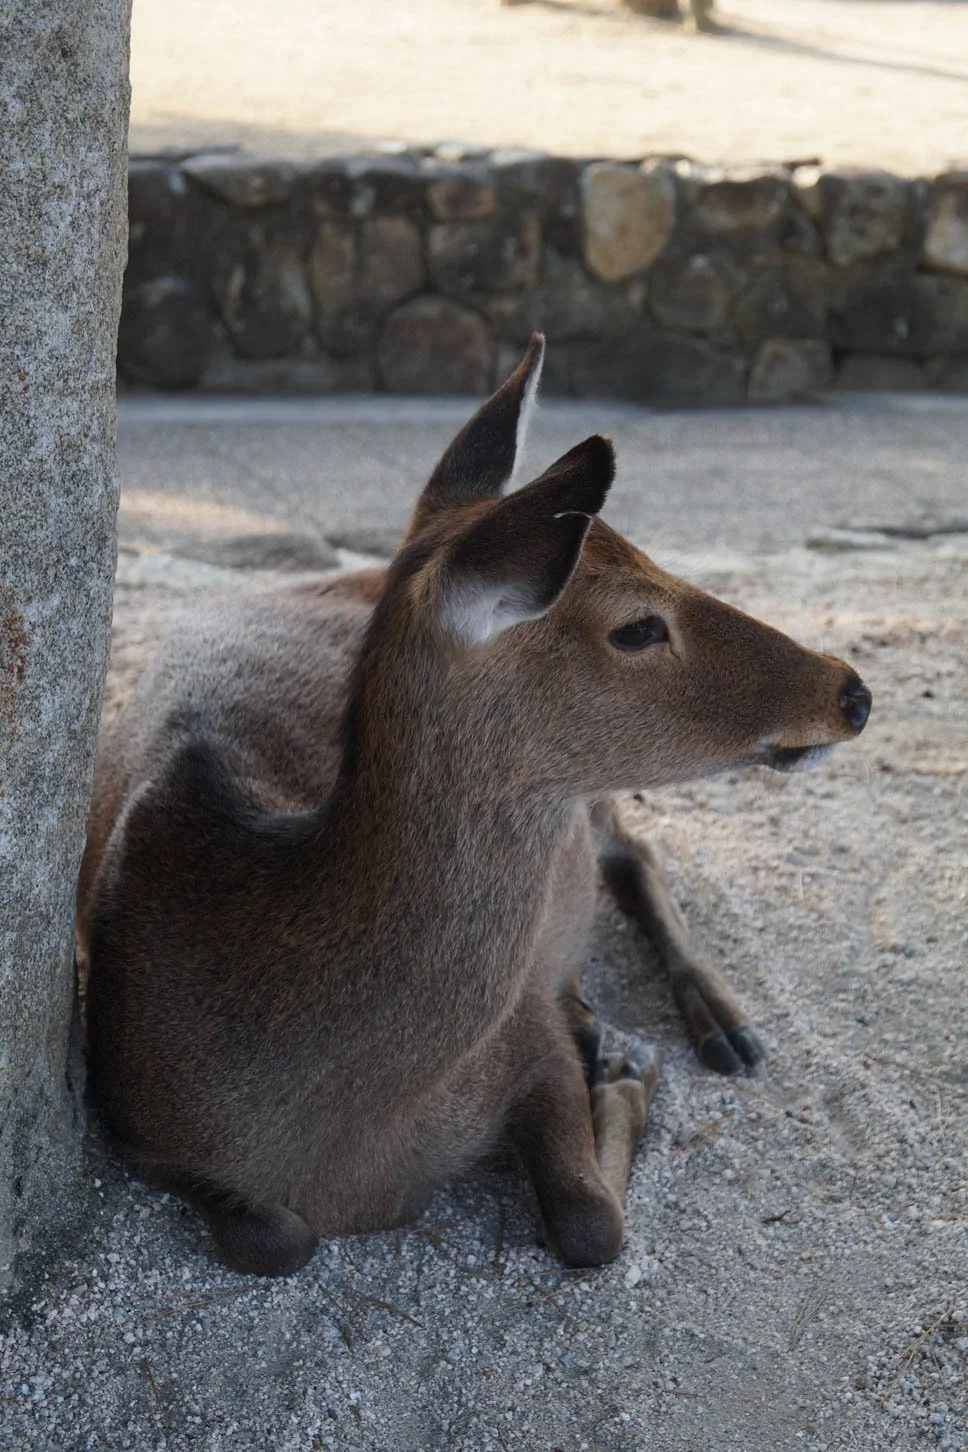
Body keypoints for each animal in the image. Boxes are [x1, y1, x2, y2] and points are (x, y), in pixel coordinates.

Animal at [76, 335, 872, 1277]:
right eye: (638, 626)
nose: (851, 690)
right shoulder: (133, 1121)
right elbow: (274, 1238)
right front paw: (612, 1053)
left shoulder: (524, 1040)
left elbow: (591, 1222)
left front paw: (623, 1069)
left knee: (634, 849)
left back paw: (723, 1025)